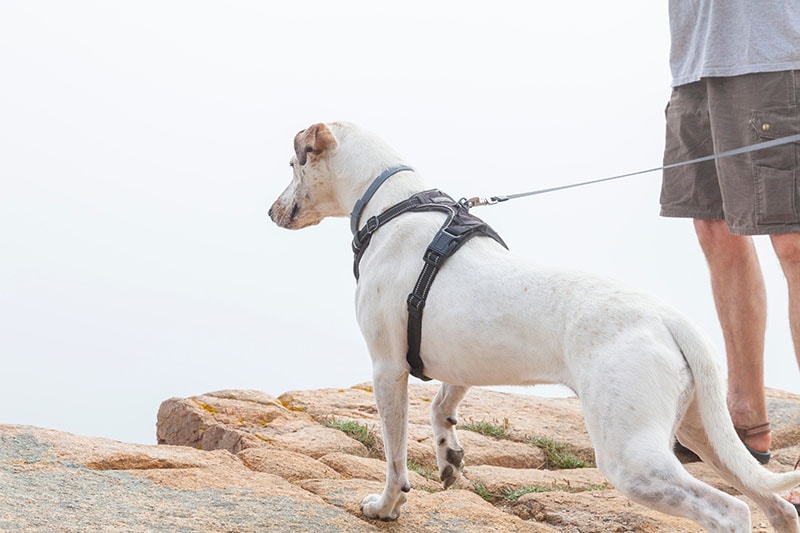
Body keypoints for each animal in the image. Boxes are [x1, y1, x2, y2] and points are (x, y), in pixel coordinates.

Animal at [270, 121, 800, 532]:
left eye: (294, 164)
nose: (270, 211)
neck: (395, 204)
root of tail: (670, 317)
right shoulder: (460, 362)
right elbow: (443, 405)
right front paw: (449, 455)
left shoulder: (387, 367)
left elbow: (395, 454)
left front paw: (386, 506)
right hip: (704, 431)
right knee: (777, 505)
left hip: (633, 459)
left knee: (730, 510)